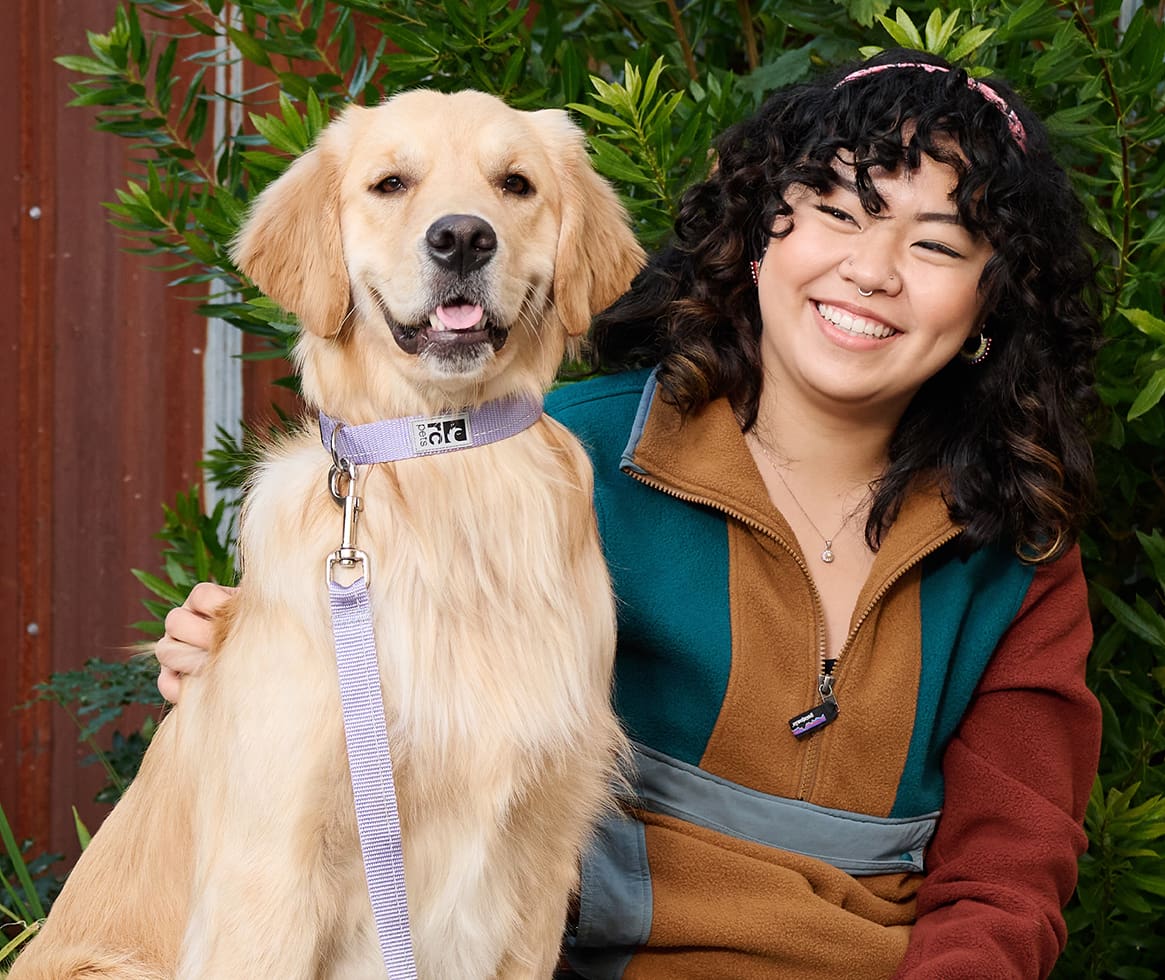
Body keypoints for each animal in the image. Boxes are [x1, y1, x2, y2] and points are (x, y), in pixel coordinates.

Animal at [13, 87, 643, 974]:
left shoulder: (539, 867)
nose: (461, 237)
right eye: (390, 184)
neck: (444, 463)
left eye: (515, 184)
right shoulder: (272, 868)